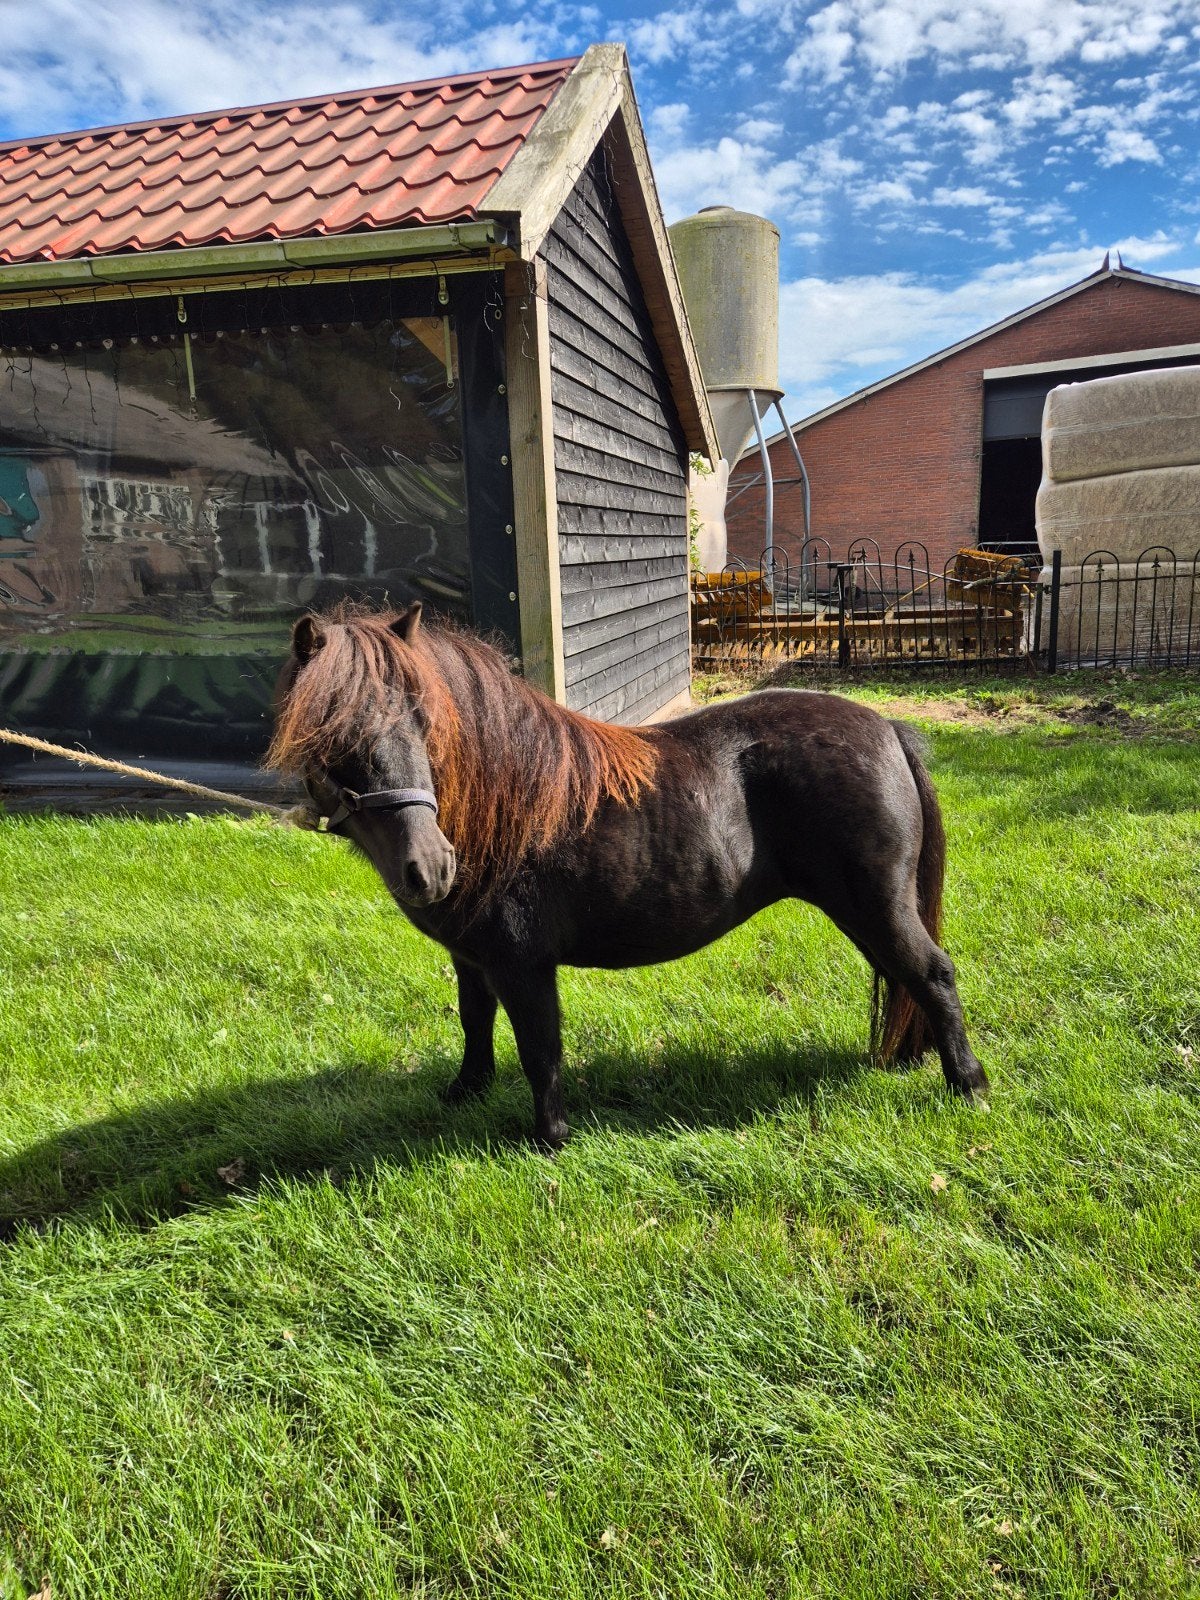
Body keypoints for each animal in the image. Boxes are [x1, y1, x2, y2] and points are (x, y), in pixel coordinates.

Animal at [268, 603, 988, 1149]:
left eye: (424, 719)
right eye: (332, 737)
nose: (430, 869)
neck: (502, 804)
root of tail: (887, 727)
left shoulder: (523, 965)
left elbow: (541, 1046)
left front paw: (550, 1138)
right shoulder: (471, 958)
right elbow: (475, 1020)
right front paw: (465, 1091)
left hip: (878, 907)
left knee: (932, 974)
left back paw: (969, 1083)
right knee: (904, 977)